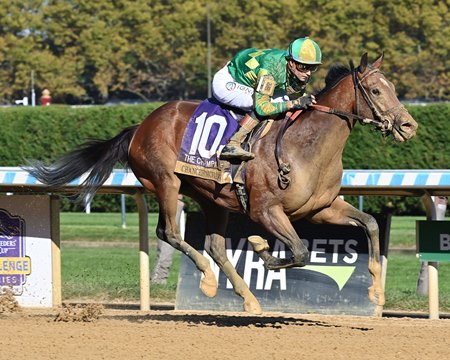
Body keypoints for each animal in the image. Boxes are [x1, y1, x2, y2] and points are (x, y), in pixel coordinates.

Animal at [28, 53, 418, 316]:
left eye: (393, 88)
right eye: (375, 90)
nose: (409, 126)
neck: (305, 145)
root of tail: (141, 125)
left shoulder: (320, 208)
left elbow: (368, 224)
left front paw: (376, 293)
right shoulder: (265, 210)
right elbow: (298, 252)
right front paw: (260, 246)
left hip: (211, 197)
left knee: (215, 246)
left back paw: (248, 298)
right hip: (166, 182)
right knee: (169, 233)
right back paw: (209, 280)